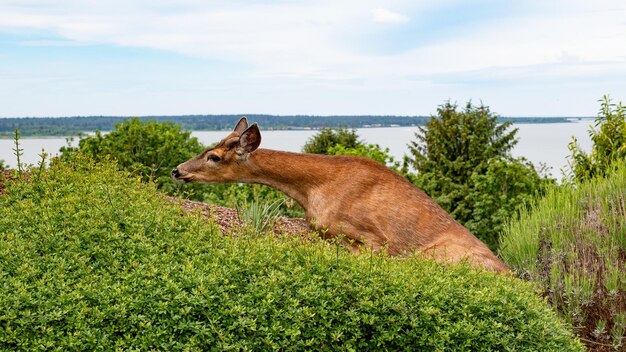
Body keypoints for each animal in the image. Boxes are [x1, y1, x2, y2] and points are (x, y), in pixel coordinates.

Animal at [171, 117, 508, 274]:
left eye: (214, 157)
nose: (177, 170)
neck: (312, 192)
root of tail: (511, 276)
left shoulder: (375, 240)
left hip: (438, 256)